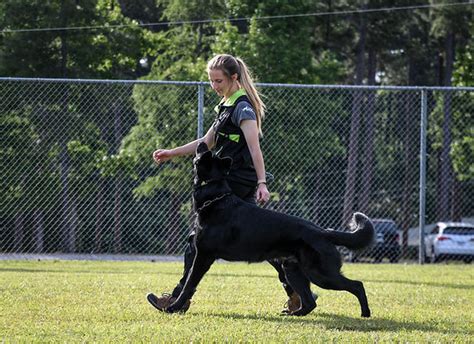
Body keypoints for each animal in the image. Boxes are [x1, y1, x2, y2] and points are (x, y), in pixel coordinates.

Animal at [166, 142, 374, 318]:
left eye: (205, 154)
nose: (202, 142)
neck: (215, 195)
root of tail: (323, 232)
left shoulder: (203, 256)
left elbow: (189, 284)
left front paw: (174, 307)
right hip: (293, 271)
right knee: (309, 302)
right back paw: (294, 314)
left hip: (320, 274)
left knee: (357, 285)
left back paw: (365, 313)